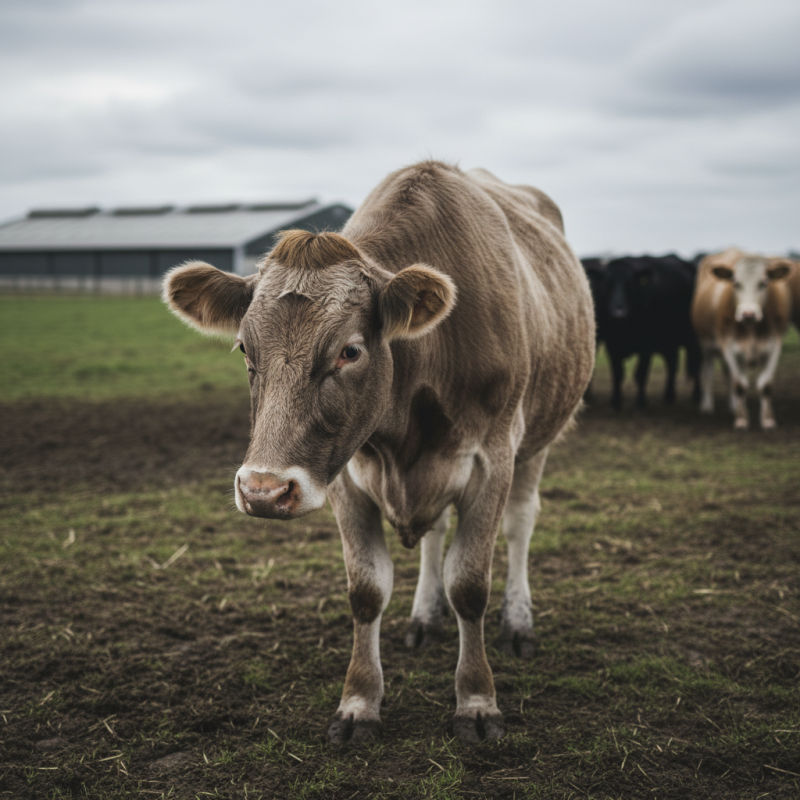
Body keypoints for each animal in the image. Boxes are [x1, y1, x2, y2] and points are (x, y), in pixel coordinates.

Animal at [163, 161, 595, 743]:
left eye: (349, 351)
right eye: (244, 349)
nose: (262, 491)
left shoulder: (492, 459)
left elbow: (469, 585)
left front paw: (477, 700)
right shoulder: (343, 476)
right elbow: (367, 590)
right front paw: (359, 702)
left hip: (537, 442)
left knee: (521, 523)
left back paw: (518, 623)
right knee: (436, 533)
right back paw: (424, 619)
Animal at [598, 255, 701, 410]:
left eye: (630, 283)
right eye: (607, 283)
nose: (619, 313)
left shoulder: (645, 347)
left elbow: (641, 374)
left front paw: (640, 403)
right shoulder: (612, 346)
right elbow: (617, 374)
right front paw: (615, 402)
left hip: (695, 339)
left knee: (698, 363)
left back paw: (697, 395)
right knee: (672, 363)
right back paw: (669, 395)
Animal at [691, 249, 793, 429]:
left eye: (763, 283)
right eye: (736, 283)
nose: (748, 314)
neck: (752, 329)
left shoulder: (774, 346)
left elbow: (765, 385)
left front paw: (767, 420)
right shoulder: (729, 347)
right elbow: (739, 384)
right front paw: (741, 419)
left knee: (729, 376)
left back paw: (733, 406)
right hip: (706, 347)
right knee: (708, 372)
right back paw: (707, 406)